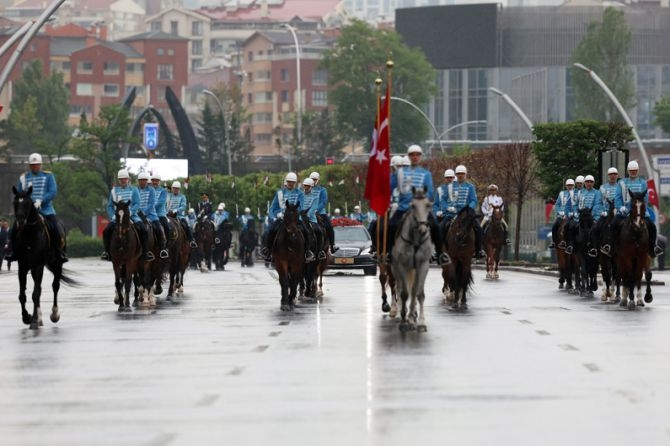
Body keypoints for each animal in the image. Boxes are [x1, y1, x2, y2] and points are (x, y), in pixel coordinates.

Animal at [11, 185, 77, 328]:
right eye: (15, 203)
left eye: (28, 203)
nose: (20, 221)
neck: (29, 236)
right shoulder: (22, 266)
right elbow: (23, 295)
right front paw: (27, 317)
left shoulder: (38, 265)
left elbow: (35, 293)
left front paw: (33, 321)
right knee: (39, 288)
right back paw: (39, 317)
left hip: (57, 263)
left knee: (55, 286)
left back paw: (54, 314)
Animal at [392, 186, 434, 332]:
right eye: (413, 206)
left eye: (428, 205)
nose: (423, 229)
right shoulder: (402, 266)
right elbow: (404, 293)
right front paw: (404, 321)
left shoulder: (423, 266)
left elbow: (419, 293)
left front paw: (420, 322)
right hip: (395, 269)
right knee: (398, 288)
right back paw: (399, 313)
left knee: (414, 290)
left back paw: (412, 316)